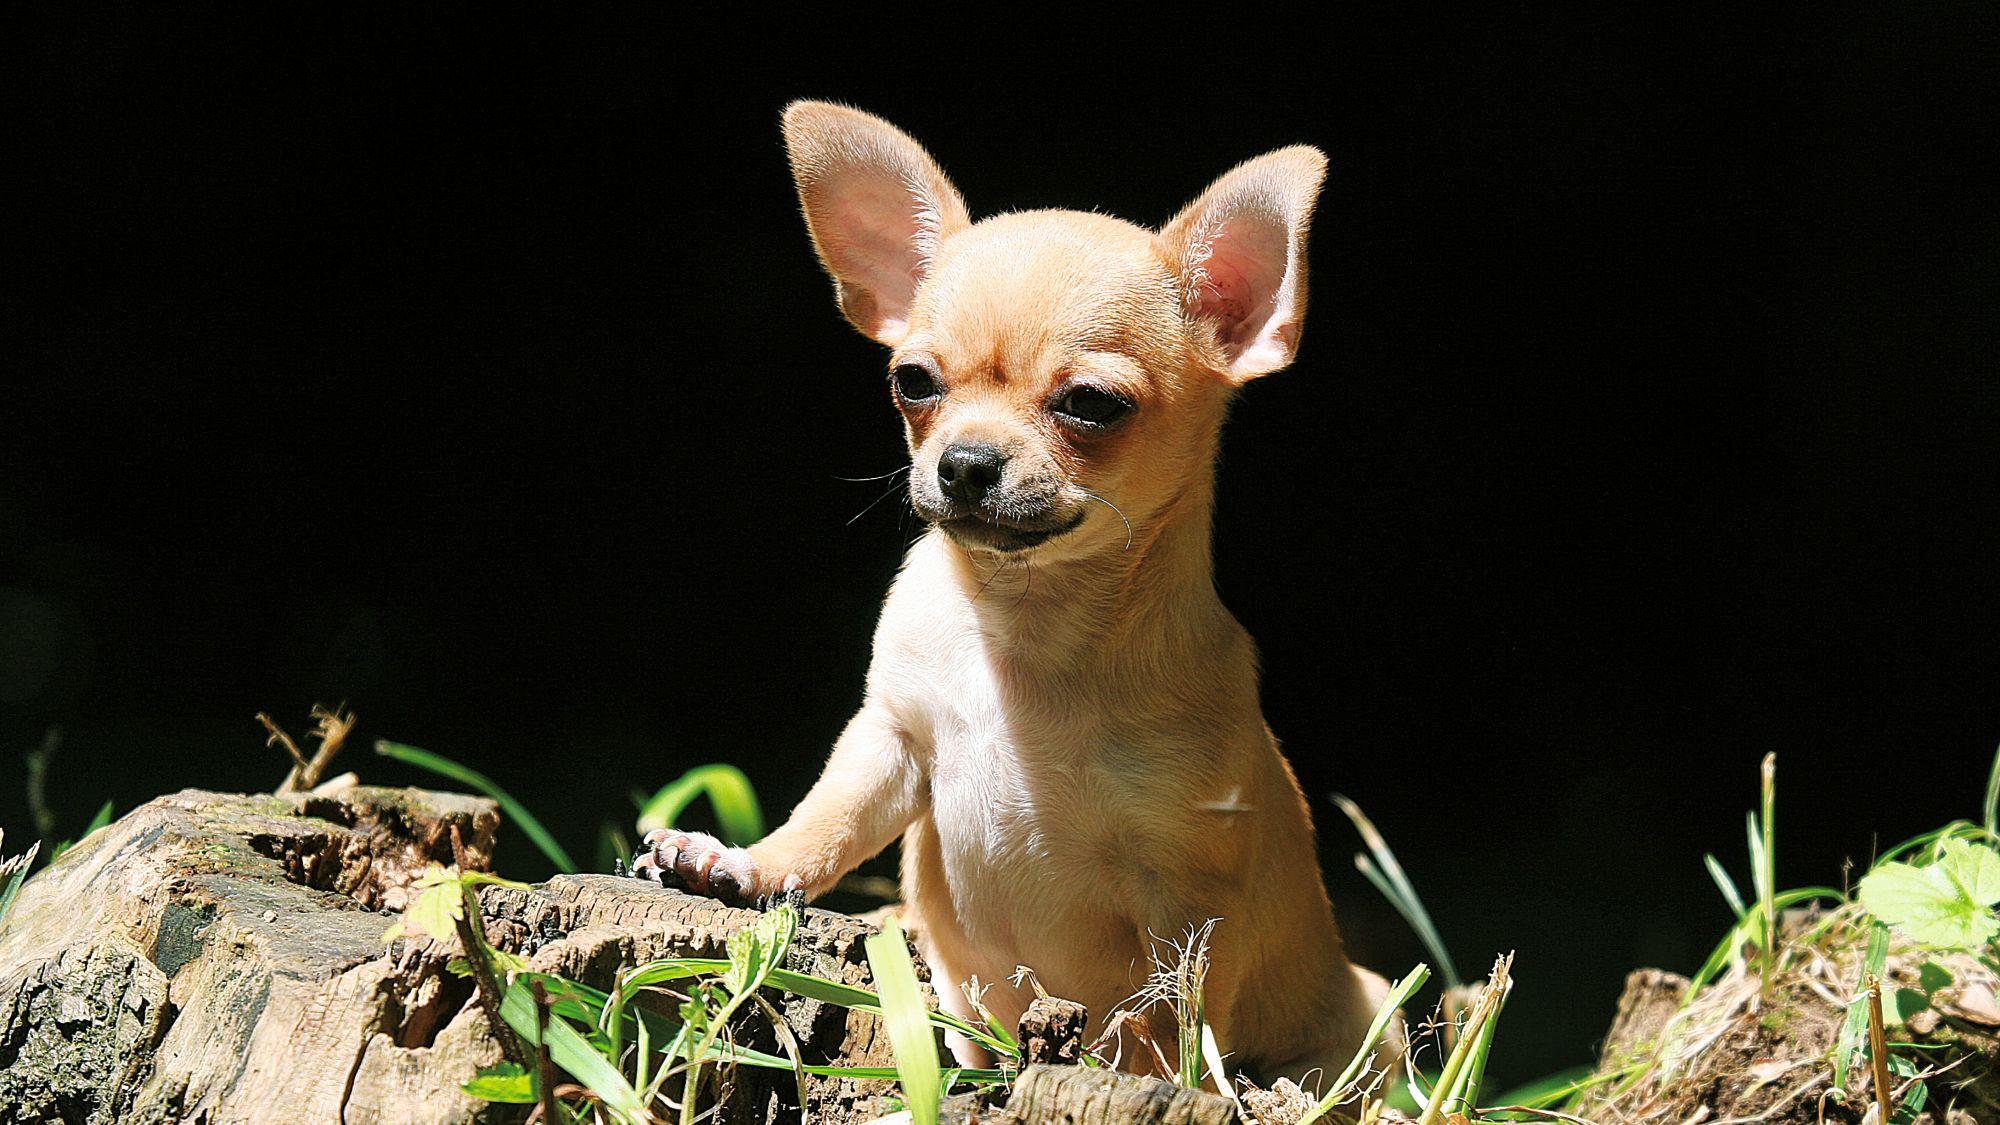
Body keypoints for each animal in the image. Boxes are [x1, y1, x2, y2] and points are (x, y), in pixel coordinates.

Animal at [644, 100, 1392, 1080]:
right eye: (911, 383)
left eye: (1091, 404)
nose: (963, 462)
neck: (1024, 628)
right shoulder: (892, 740)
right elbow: (829, 819)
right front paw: (749, 864)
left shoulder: (1187, 888)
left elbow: (1166, 1017)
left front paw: (1155, 1079)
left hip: (1367, 1019)